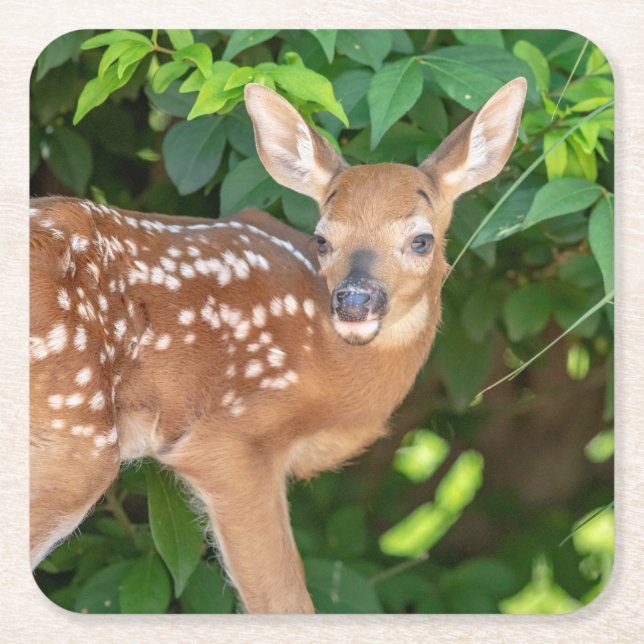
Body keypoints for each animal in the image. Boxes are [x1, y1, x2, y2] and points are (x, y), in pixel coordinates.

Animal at [30, 77, 527, 613]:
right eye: (322, 239)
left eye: (421, 240)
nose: (354, 301)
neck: (330, 370)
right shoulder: (228, 438)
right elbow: (285, 599)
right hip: (75, 433)